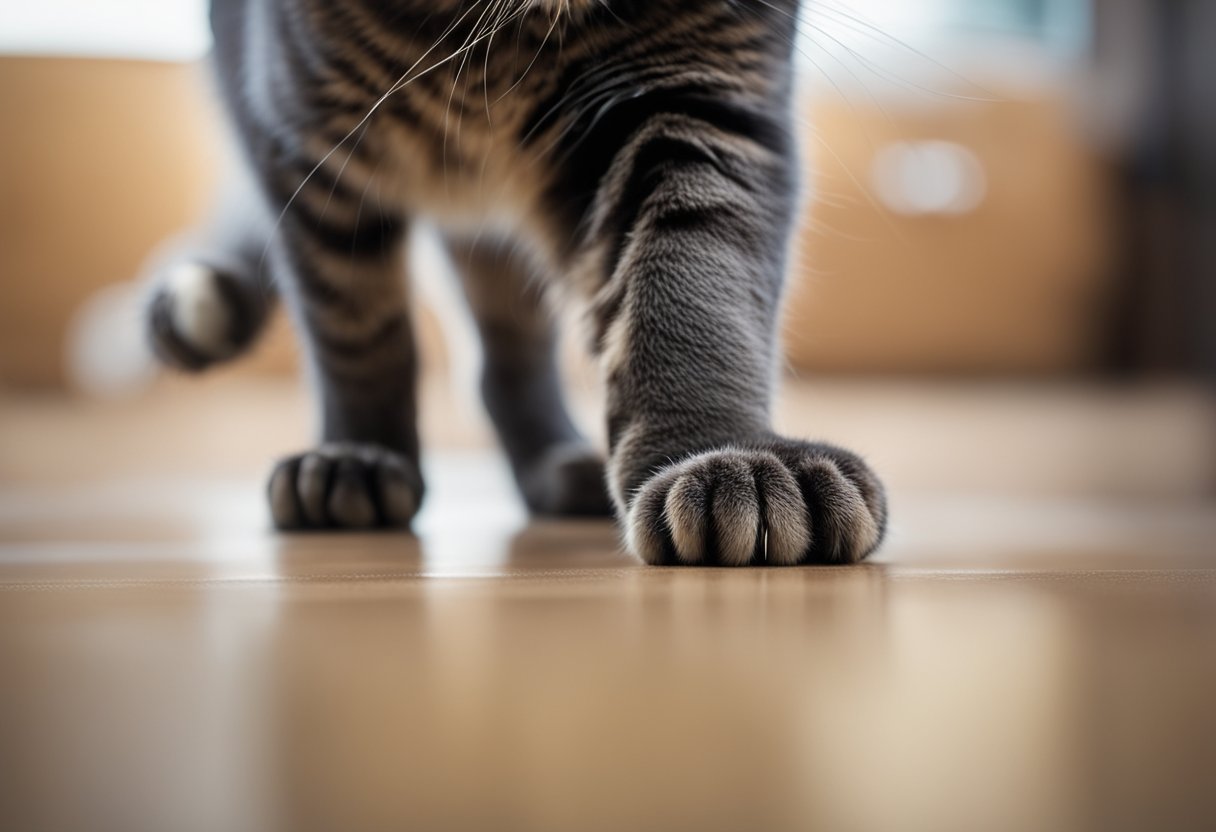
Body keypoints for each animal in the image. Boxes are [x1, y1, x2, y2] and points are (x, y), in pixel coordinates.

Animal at [147, 0, 890, 564]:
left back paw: (556, 464)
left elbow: (694, 292)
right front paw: (358, 450)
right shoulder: (309, 145)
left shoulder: (699, 99)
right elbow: (357, 334)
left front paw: (726, 450)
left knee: (506, 357)